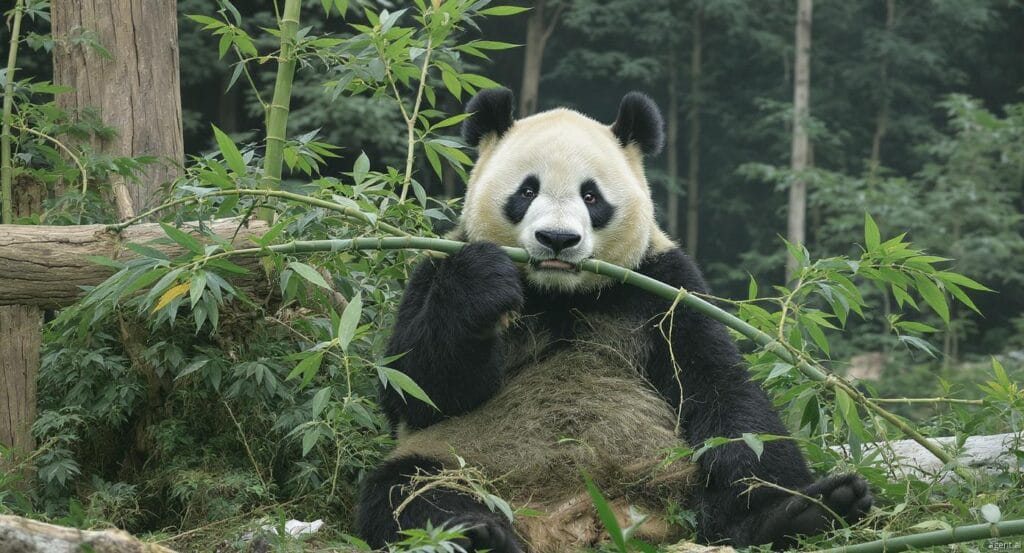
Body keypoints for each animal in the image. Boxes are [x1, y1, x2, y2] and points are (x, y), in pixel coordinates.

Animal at [357, 89, 872, 552]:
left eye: (591, 196)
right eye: (527, 190)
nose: (557, 239)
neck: (560, 294)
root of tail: (576, 518)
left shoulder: (663, 284)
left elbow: (719, 387)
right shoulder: (436, 265)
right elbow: (417, 389)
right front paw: (485, 281)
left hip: (678, 479)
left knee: (739, 474)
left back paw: (802, 512)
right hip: (467, 459)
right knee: (411, 490)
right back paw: (476, 533)